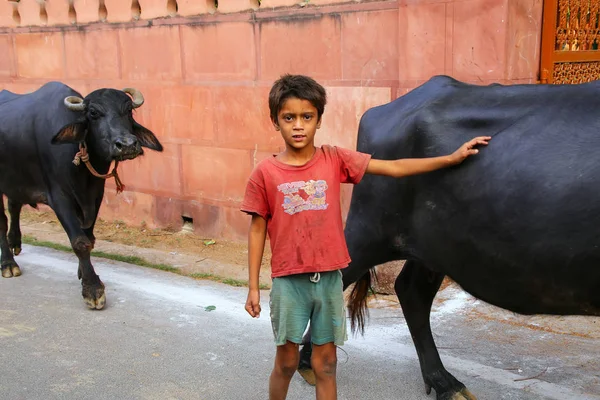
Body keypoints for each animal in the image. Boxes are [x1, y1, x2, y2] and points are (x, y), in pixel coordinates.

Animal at [0, 82, 162, 310]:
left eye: (129, 110)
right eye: (93, 113)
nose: (128, 145)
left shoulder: (95, 196)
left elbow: (90, 238)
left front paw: (81, 272)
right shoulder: (59, 198)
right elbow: (79, 242)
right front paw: (92, 288)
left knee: (14, 205)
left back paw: (15, 242)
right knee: (1, 222)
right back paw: (8, 264)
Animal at [298, 76, 600, 400]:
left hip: (433, 248)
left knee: (411, 291)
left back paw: (445, 382)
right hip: (370, 230)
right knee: (341, 275)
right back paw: (309, 362)